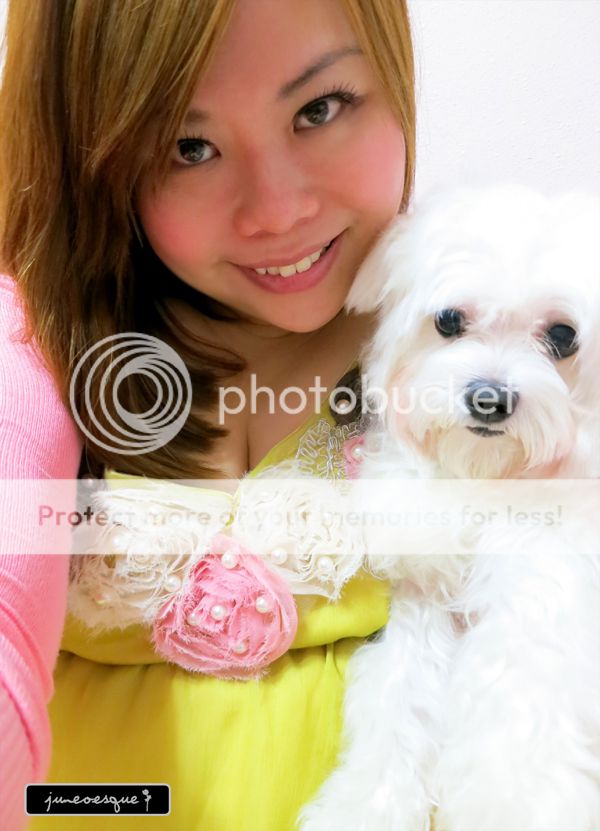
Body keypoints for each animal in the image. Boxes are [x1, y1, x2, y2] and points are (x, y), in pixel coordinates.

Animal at [299, 185, 600, 831]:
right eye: (449, 321)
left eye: (563, 336)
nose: (489, 398)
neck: (486, 480)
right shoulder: (425, 598)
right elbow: (399, 697)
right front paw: (366, 804)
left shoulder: (542, 602)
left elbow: (519, 714)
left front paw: (514, 808)